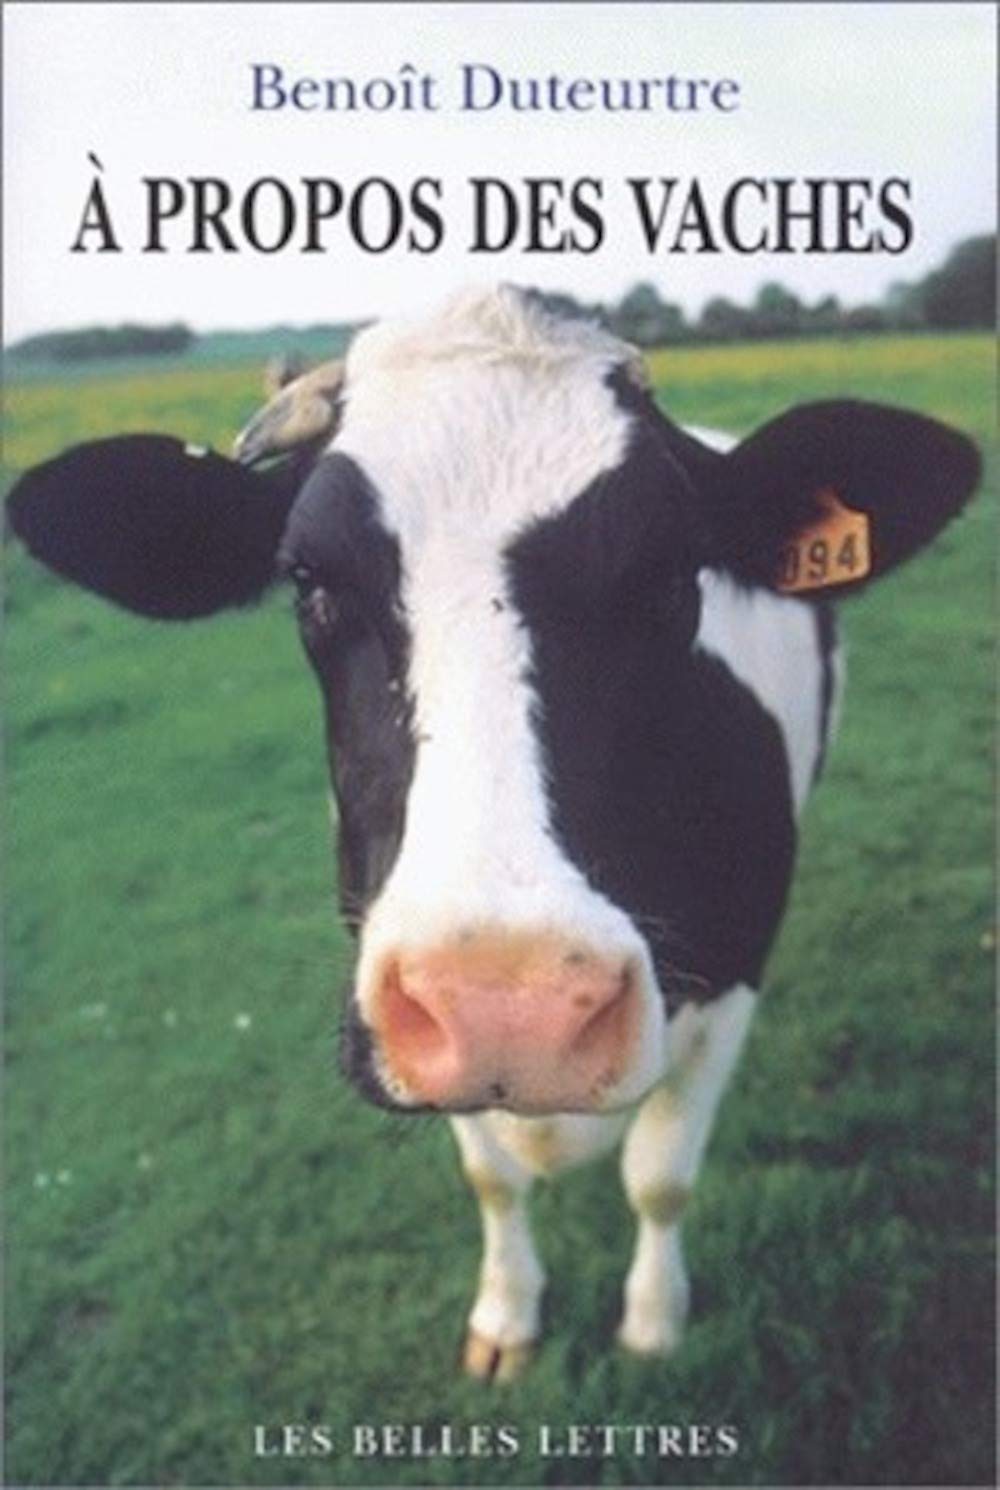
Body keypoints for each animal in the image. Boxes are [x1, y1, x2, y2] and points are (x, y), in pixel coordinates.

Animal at [7, 286, 979, 1382]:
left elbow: (661, 1173)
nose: (511, 1006)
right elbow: (493, 1179)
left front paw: (653, 1322)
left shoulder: (735, 973)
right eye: (308, 581)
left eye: (677, 573)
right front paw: (507, 1316)